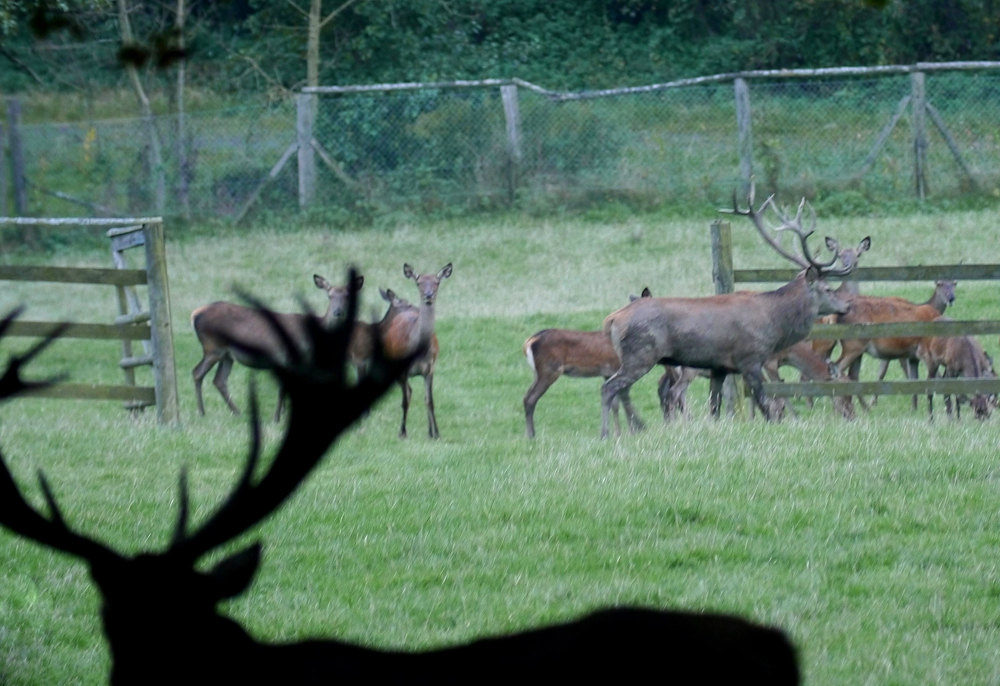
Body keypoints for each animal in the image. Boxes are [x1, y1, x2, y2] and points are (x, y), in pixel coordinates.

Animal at [189, 272, 362, 422]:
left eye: (347, 296)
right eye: (329, 295)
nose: (338, 312)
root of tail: (195, 314)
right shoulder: (287, 357)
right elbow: (283, 389)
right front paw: (277, 418)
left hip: (227, 354)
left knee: (219, 380)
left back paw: (237, 412)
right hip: (213, 347)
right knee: (197, 373)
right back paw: (202, 412)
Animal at [384, 264, 456, 440]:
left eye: (437, 282)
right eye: (418, 283)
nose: (428, 295)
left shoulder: (429, 369)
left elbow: (429, 401)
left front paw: (435, 433)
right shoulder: (402, 370)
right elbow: (404, 401)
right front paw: (402, 432)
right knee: (408, 392)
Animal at [596, 188, 864, 438]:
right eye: (827, 289)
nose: (847, 306)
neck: (774, 322)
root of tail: (611, 319)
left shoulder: (719, 367)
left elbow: (715, 406)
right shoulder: (750, 358)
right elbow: (764, 403)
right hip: (640, 354)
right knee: (610, 388)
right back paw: (606, 433)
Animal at [832, 278, 956, 412]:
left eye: (955, 283)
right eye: (939, 284)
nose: (951, 298)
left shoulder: (905, 355)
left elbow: (909, 378)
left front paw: (914, 408)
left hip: (858, 350)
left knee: (852, 375)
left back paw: (864, 408)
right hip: (853, 346)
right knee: (837, 368)